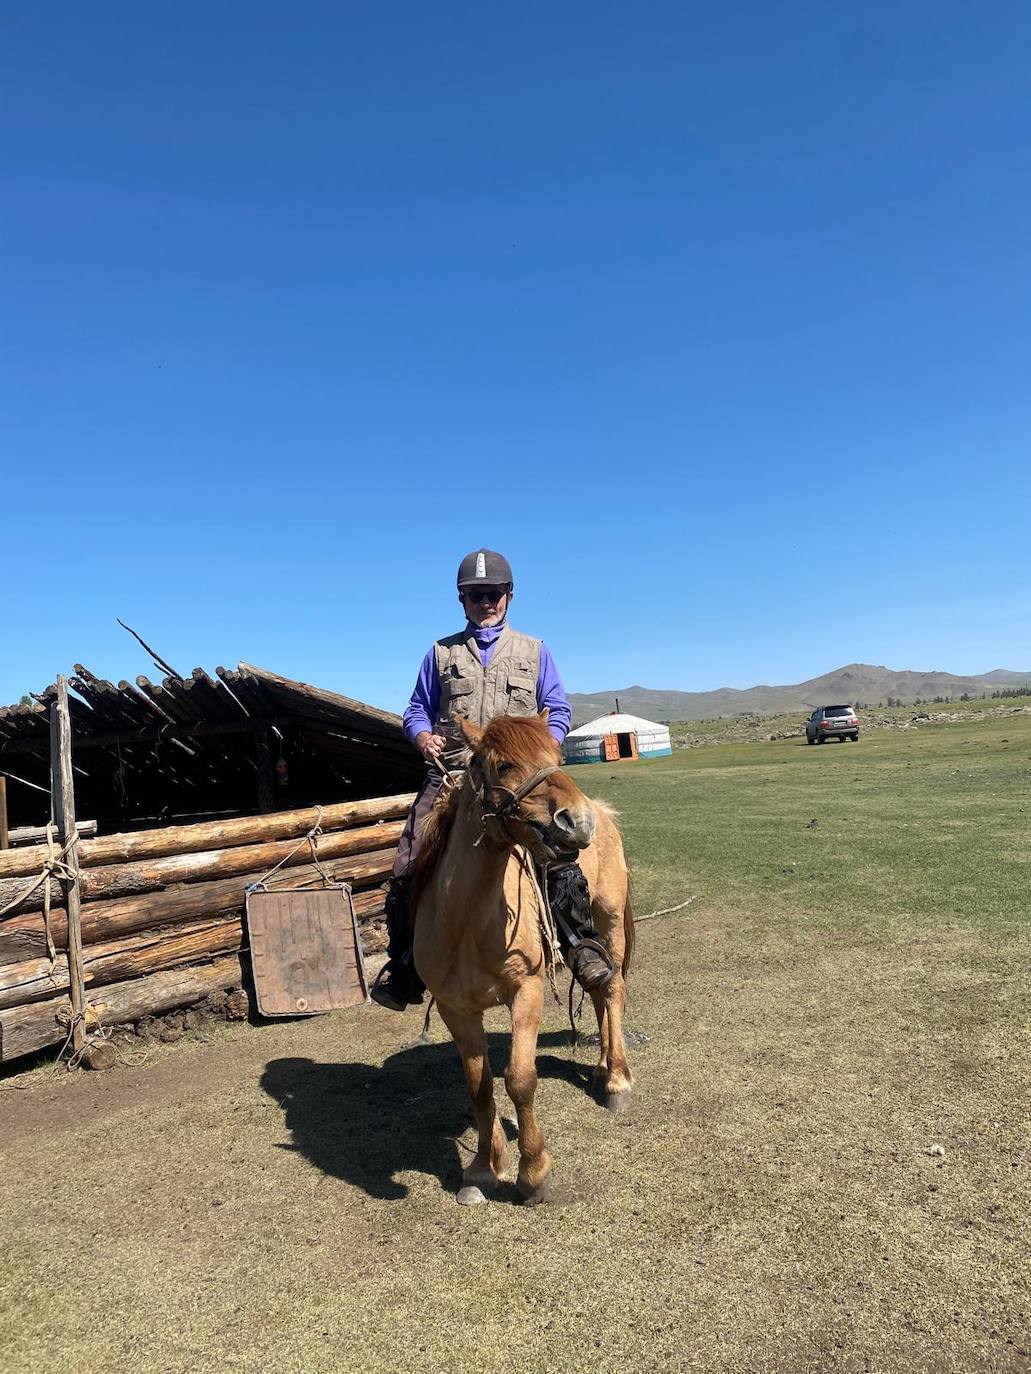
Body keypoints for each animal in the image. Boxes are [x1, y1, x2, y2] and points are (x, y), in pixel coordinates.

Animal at [409, 708, 635, 1203]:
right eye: (504, 765)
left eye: (556, 755)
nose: (579, 822)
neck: (467, 921)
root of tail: (607, 812)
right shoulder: (455, 1008)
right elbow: (478, 1085)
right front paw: (483, 1168)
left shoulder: (526, 992)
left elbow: (519, 1078)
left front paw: (533, 1172)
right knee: (596, 993)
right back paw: (600, 1068)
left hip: (608, 921)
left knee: (612, 990)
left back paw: (617, 1079)